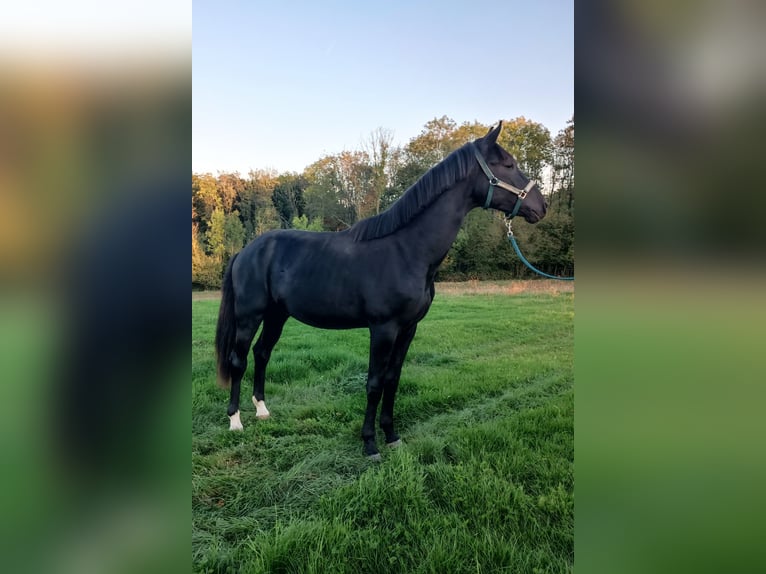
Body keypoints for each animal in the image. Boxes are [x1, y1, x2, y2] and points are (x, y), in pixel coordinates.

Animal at [214, 121, 547, 459]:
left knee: (262, 352)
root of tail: (246, 251)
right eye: (508, 165)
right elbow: (374, 383)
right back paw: (235, 421)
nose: (542, 206)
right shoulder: (383, 328)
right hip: (249, 316)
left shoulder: (408, 328)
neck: (406, 250)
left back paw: (262, 411)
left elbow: (392, 379)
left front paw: (391, 435)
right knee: (238, 360)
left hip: (277, 315)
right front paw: (370, 444)